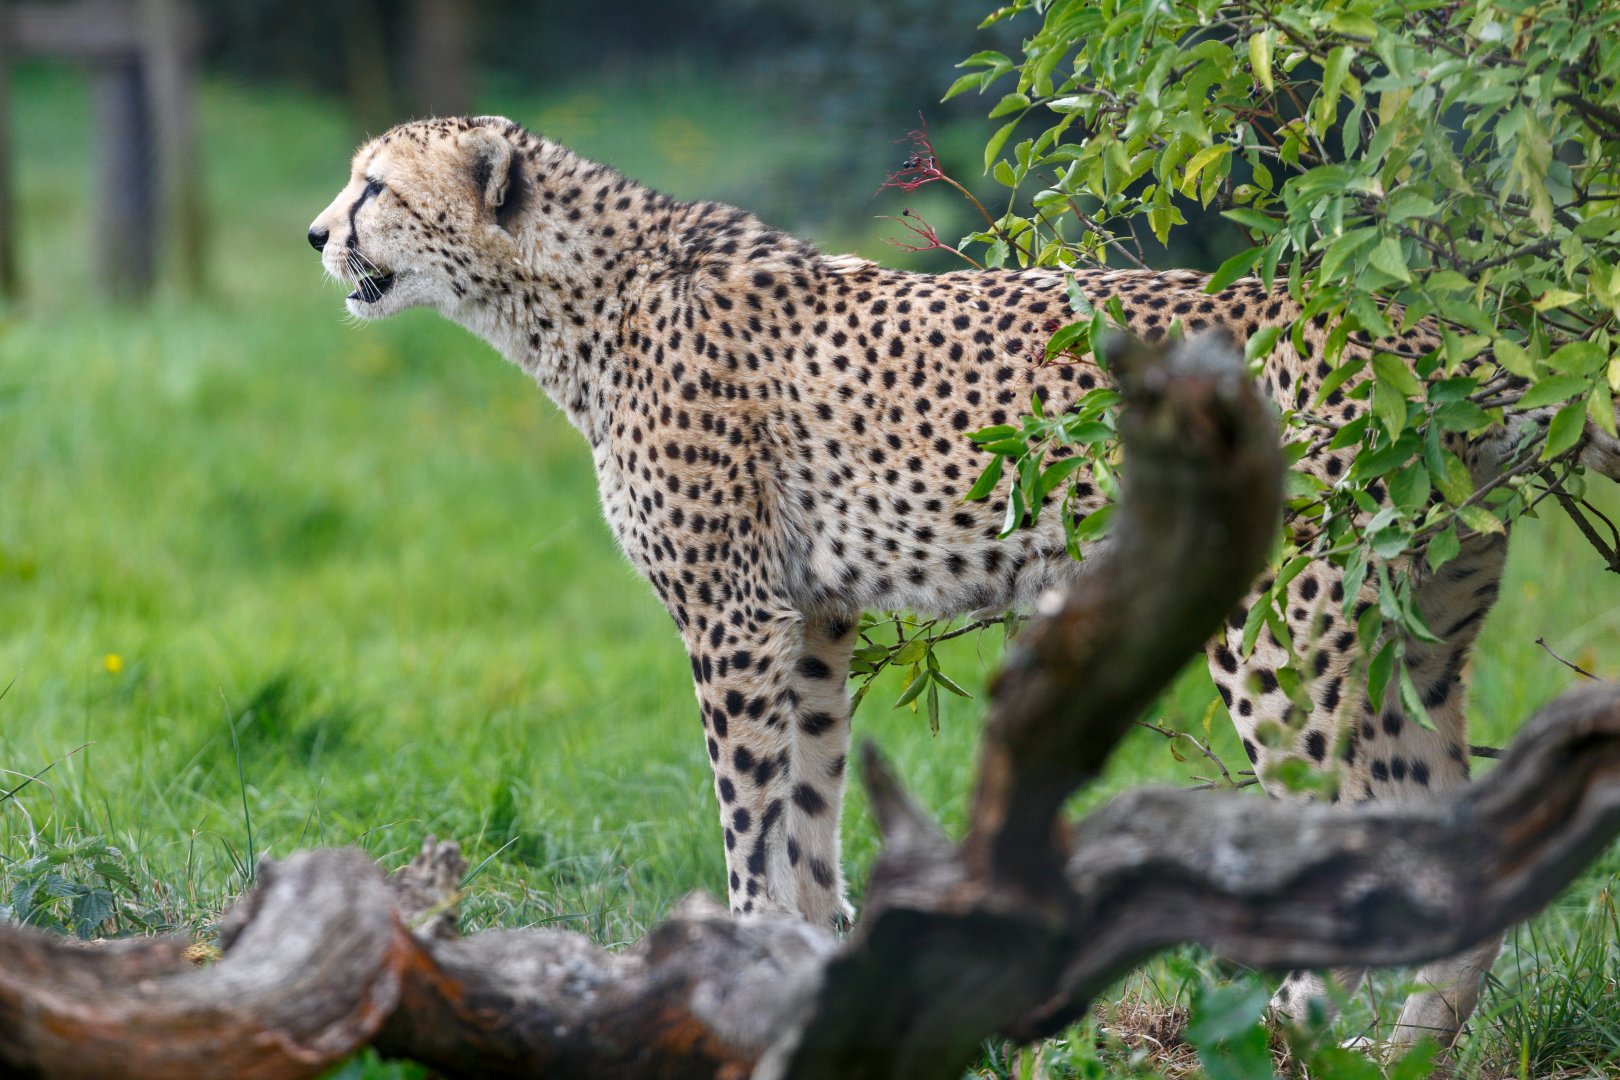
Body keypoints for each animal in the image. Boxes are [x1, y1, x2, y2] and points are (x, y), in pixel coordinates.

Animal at [309, 115, 1620, 1046]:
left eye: (374, 187)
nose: (317, 236)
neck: (579, 293)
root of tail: (1420, 334)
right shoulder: (814, 617)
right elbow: (807, 813)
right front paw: (816, 972)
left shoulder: (731, 615)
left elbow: (747, 819)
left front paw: (734, 968)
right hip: (1416, 646)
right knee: (1453, 861)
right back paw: (1400, 1050)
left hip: (1280, 639)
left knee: (1347, 844)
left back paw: (1289, 1031)